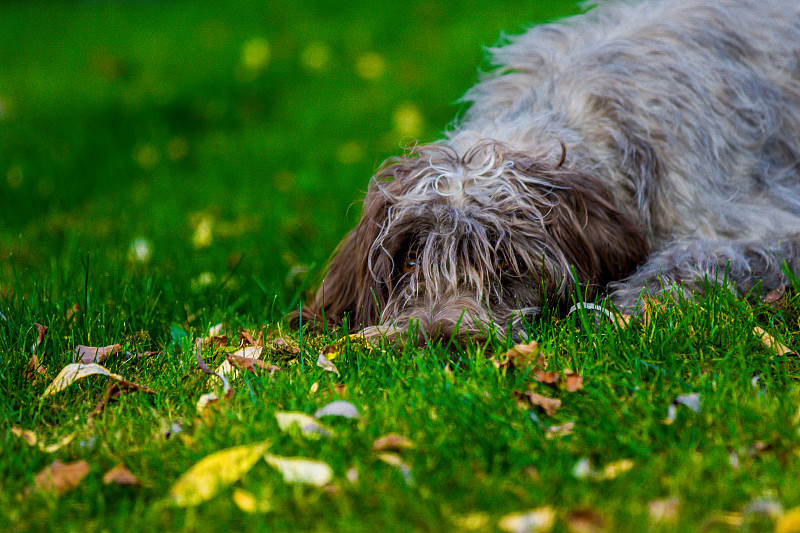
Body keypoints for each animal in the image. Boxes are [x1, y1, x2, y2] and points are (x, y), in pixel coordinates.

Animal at [296, 0, 800, 340]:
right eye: (410, 260)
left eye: (503, 262)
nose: (435, 340)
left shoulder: (760, 226)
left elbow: (695, 259)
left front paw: (627, 304)